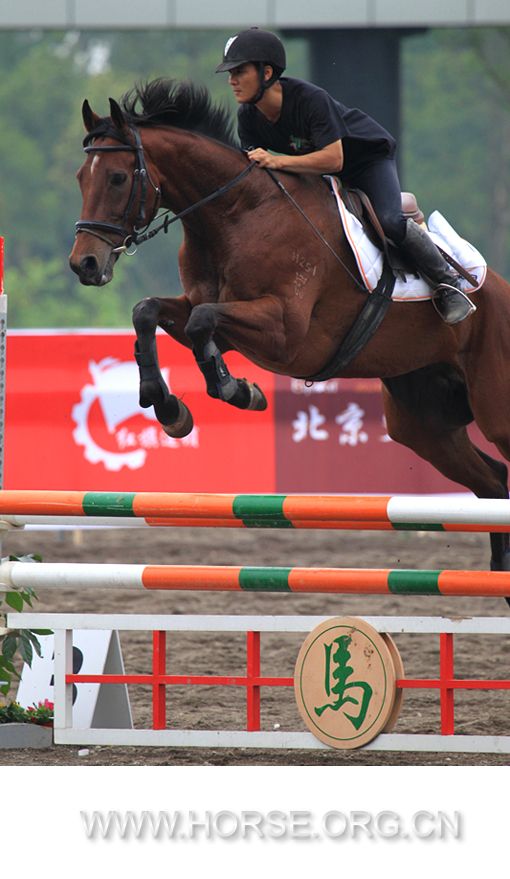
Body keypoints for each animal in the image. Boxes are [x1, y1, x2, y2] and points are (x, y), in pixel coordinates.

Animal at [68, 79, 510, 580]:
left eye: (118, 178)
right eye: (81, 177)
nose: (85, 264)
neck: (235, 215)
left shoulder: (285, 334)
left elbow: (203, 323)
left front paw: (236, 390)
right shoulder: (215, 319)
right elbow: (149, 313)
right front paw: (169, 407)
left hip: (494, 408)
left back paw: (454, 295)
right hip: (424, 424)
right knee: (493, 483)